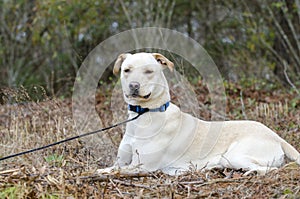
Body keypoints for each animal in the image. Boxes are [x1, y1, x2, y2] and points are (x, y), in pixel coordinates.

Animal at [97, 52, 298, 175]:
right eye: (126, 70)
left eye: (149, 71)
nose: (134, 86)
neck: (145, 113)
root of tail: (276, 136)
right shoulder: (122, 162)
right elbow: (110, 168)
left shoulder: (142, 166)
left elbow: (111, 171)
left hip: (235, 156)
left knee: (272, 169)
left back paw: (251, 172)